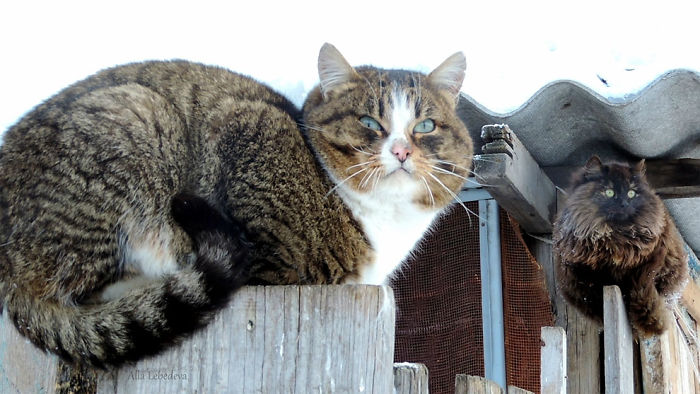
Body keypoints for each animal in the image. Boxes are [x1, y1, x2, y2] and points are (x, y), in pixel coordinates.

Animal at [0, 44, 474, 368]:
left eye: (426, 126)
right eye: (370, 122)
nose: (401, 151)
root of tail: (9, 274)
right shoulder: (245, 129)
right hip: (135, 120)